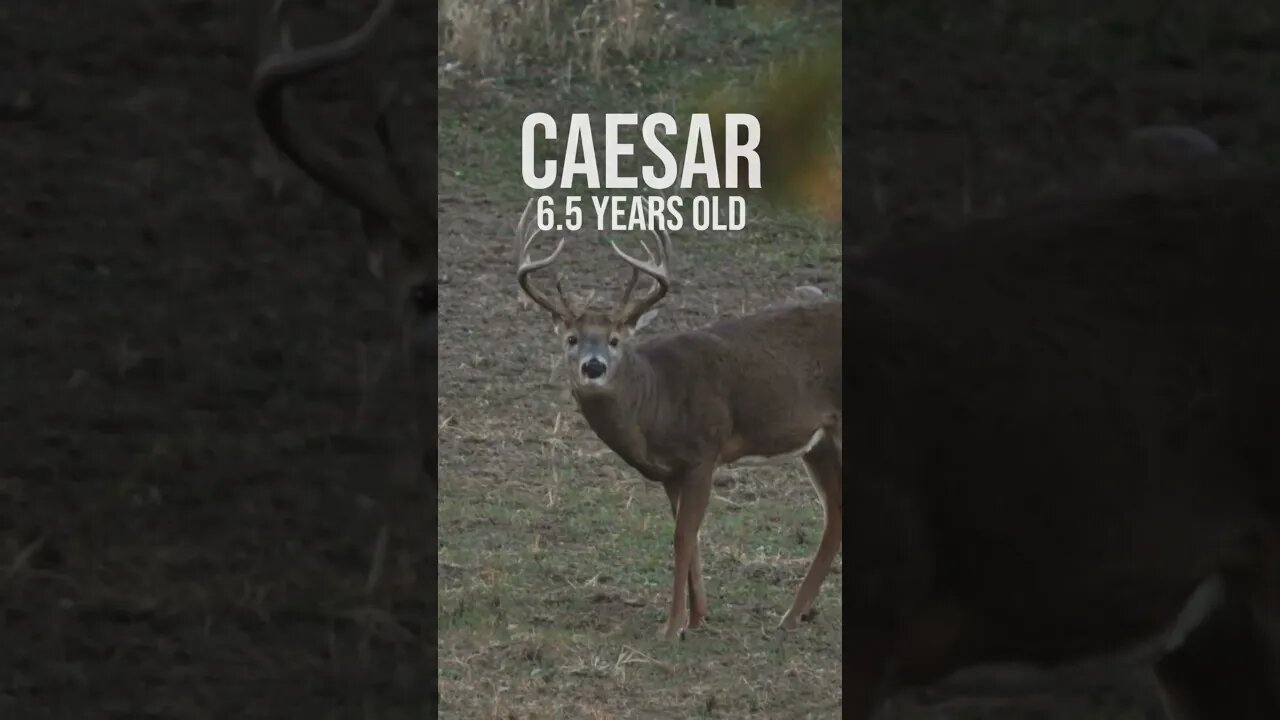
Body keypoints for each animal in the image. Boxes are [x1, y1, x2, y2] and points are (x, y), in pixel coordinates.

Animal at [514, 197, 844, 638]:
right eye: (572, 339)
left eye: (615, 339)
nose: (593, 366)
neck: (658, 403)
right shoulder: (672, 472)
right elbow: (690, 537)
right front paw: (699, 615)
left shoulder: (706, 450)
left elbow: (683, 537)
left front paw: (672, 628)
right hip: (818, 440)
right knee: (835, 512)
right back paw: (792, 614)